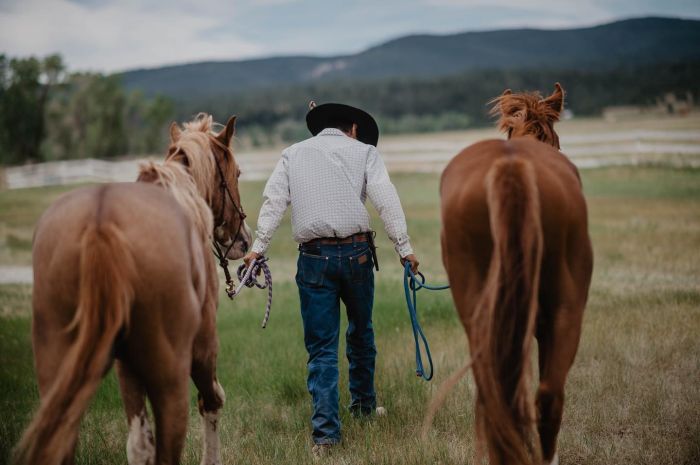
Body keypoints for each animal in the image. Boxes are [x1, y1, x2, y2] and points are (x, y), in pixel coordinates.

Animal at [14, 113, 252, 464]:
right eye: (237, 173)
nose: (244, 241)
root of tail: (101, 223)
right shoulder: (203, 346)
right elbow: (212, 400)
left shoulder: (126, 367)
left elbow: (139, 445)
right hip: (170, 380)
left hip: (58, 374)